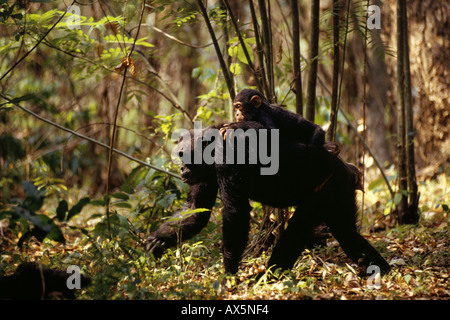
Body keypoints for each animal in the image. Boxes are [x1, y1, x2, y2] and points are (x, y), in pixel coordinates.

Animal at [145, 122, 390, 276]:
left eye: (183, 154)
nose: (182, 169)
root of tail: (350, 171)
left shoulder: (228, 156)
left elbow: (235, 214)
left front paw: (228, 275)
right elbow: (196, 210)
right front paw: (158, 241)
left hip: (328, 188)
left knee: (296, 233)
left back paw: (268, 276)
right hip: (339, 194)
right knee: (347, 234)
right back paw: (381, 270)